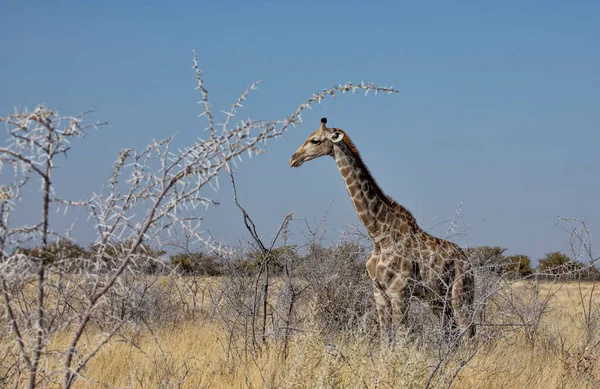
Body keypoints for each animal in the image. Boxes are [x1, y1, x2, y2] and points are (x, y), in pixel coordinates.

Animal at [288, 116, 476, 342]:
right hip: (437, 299)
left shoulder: (399, 292)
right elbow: (385, 337)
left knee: (468, 332)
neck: (378, 234)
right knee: (451, 332)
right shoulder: (379, 292)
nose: (293, 158)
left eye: (315, 140)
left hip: (461, 294)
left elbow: (403, 336)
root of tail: (467, 261)